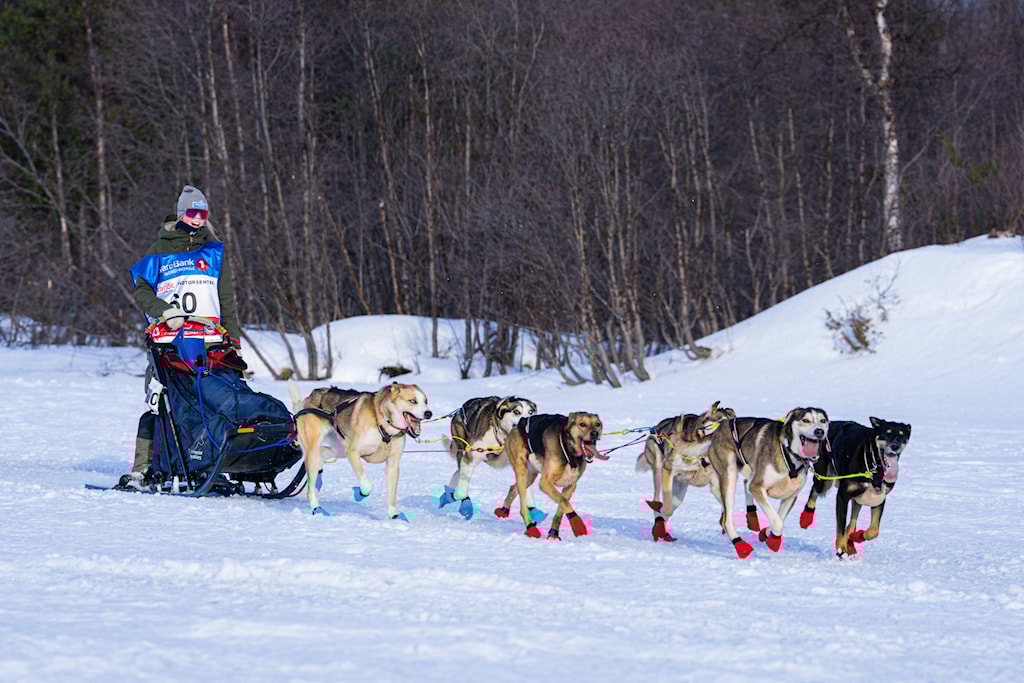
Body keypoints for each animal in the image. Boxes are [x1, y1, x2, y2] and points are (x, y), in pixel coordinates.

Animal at [288, 380, 431, 519]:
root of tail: (312, 395)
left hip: (339, 449)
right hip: (318, 450)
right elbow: (367, 485)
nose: (429, 413)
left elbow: (392, 494)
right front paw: (361, 493)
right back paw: (316, 508)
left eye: (426, 401)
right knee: (310, 486)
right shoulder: (353, 452)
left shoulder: (392, 464)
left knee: (322, 454)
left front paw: (393, 514)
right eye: (412, 401)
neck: (382, 421)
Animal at [635, 401, 736, 542]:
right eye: (721, 423)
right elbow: (666, 509)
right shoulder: (667, 469)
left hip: (680, 487)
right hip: (659, 472)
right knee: (659, 501)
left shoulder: (716, 483)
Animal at [706, 407, 830, 558]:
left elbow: (779, 518)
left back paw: (752, 518)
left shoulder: (790, 496)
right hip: (729, 474)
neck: (789, 456)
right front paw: (774, 541)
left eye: (822, 421)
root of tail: (723, 423)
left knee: (744, 484)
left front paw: (767, 534)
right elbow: (777, 522)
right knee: (727, 517)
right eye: (805, 420)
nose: (819, 431)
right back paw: (740, 544)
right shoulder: (757, 487)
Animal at [800, 417, 911, 557]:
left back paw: (852, 541)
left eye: (902, 435)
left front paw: (858, 536)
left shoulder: (878, 496)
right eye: (887, 433)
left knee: (852, 519)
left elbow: (874, 530)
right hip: (824, 480)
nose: (895, 446)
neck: (872, 463)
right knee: (815, 490)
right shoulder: (842, 496)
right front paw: (841, 549)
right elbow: (841, 528)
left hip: (858, 496)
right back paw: (806, 517)